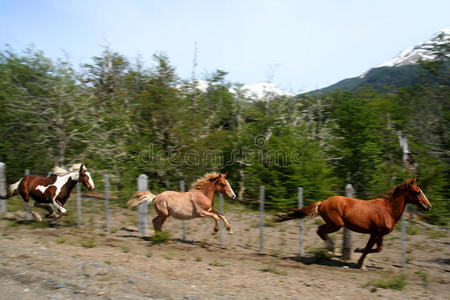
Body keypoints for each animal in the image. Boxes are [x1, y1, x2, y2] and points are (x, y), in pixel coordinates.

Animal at [276, 178, 430, 268]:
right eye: (417, 192)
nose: (428, 206)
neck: (387, 210)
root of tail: (323, 202)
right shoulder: (377, 233)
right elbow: (374, 249)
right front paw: (358, 256)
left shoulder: (375, 234)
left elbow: (373, 248)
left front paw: (359, 259)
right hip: (336, 224)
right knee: (320, 230)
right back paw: (331, 249)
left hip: (334, 224)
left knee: (320, 230)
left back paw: (331, 249)